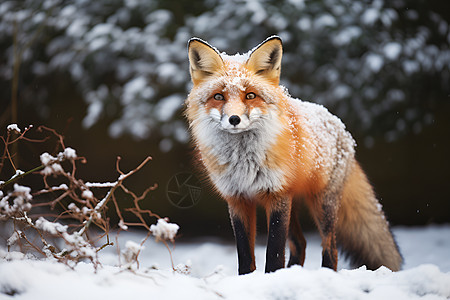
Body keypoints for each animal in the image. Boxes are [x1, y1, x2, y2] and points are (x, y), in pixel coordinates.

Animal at [185, 35, 402, 274]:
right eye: (218, 96)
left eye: (250, 95)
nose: (234, 119)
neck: (244, 162)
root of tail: (341, 127)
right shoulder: (237, 199)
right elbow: (245, 255)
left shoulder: (276, 195)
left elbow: (274, 252)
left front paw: (272, 276)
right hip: (294, 204)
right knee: (301, 244)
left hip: (321, 204)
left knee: (330, 248)